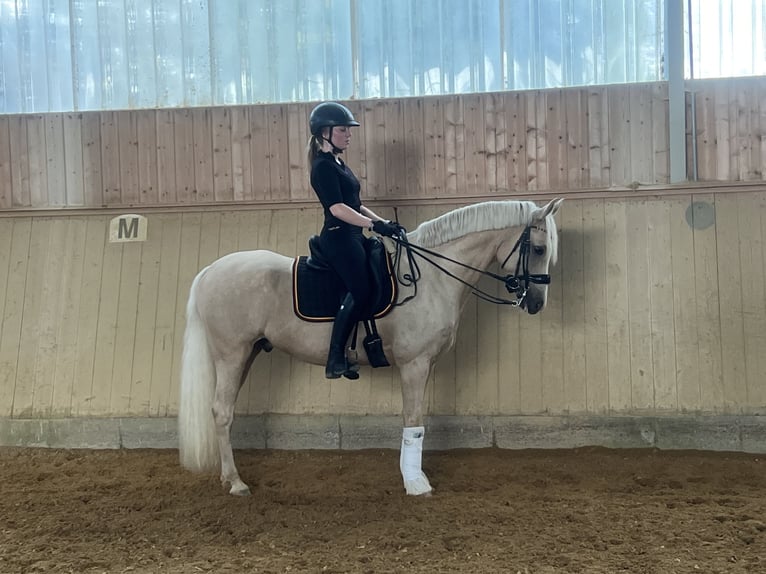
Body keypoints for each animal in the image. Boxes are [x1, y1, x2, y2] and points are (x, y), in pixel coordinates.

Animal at [180, 200, 564, 498]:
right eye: (539, 249)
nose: (536, 303)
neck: (433, 277)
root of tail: (211, 270)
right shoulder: (414, 364)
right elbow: (413, 420)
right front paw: (416, 483)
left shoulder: (426, 365)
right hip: (231, 354)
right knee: (221, 411)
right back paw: (236, 483)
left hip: (249, 352)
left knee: (224, 411)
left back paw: (227, 477)